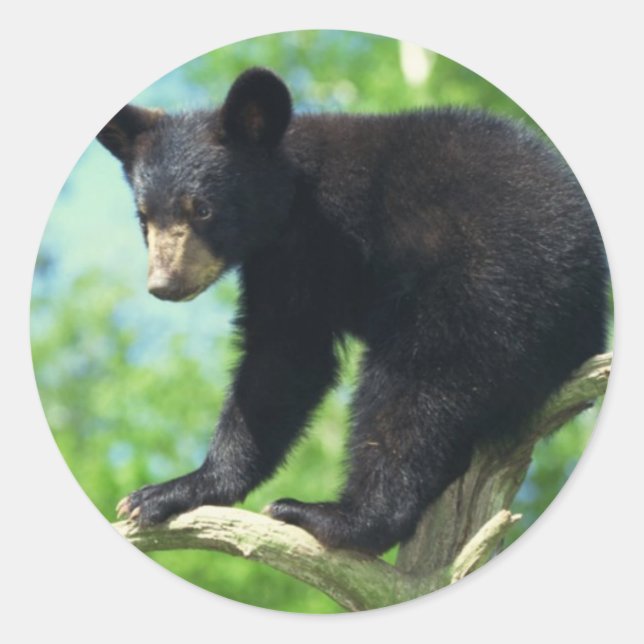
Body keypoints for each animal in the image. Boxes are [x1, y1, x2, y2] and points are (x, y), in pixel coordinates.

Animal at [97, 67, 608, 555]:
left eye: (201, 209)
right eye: (145, 217)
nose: (165, 284)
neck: (293, 193)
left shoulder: (318, 238)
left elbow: (288, 358)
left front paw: (166, 491)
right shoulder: (280, 259)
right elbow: (283, 354)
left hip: (486, 294)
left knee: (413, 394)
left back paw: (335, 516)